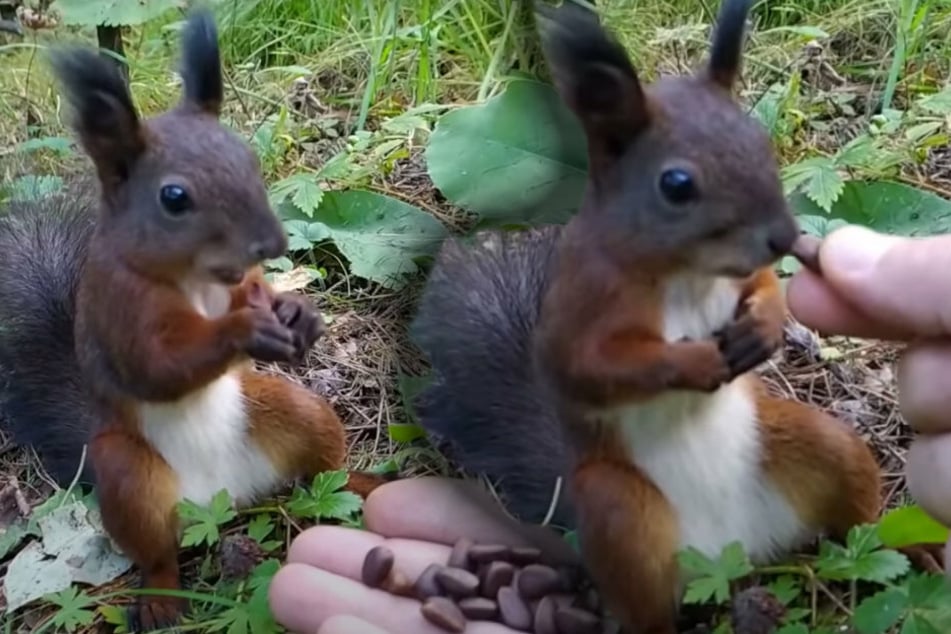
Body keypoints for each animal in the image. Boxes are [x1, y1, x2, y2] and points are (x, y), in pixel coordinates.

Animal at [0, 8, 390, 628]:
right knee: (157, 551)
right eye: (174, 198)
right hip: (128, 477)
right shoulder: (119, 308)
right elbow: (157, 367)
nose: (273, 242)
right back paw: (160, 597)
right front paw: (244, 331)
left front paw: (297, 311)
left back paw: (364, 480)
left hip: (292, 411)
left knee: (321, 469)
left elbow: (257, 292)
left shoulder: (240, 282)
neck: (198, 279)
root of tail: (220, 500)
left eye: (249, 160)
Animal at [410, 2, 944, 628]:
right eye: (677, 184)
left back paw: (919, 548)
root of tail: (732, 554)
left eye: (763, 144)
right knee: (647, 607)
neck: (688, 273)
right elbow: (589, 367)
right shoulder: (583, 299)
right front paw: (693, 362)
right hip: (621, 515)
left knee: (858, 518)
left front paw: (764, 324)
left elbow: (764, 285)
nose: (784, 236)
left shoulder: (738, 277)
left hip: (819, 446)